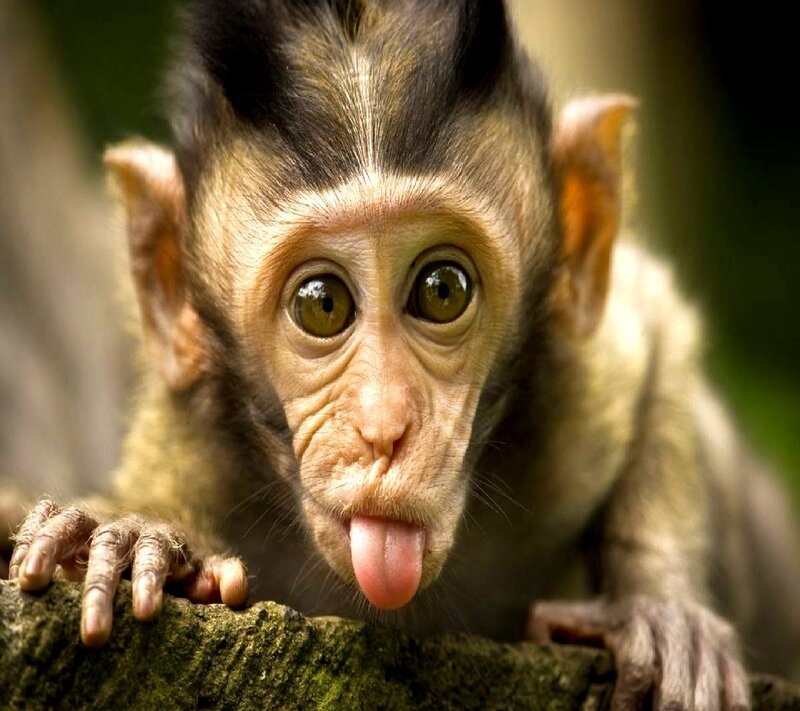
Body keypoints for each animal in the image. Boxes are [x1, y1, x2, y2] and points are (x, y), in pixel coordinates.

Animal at [7, 1, 800, 708]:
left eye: (442, 290)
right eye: (321, 303)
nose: (384, 428)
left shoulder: (584, 392)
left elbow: (658, 327)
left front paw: (660, 608)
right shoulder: (189, 443)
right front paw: (135, 535)